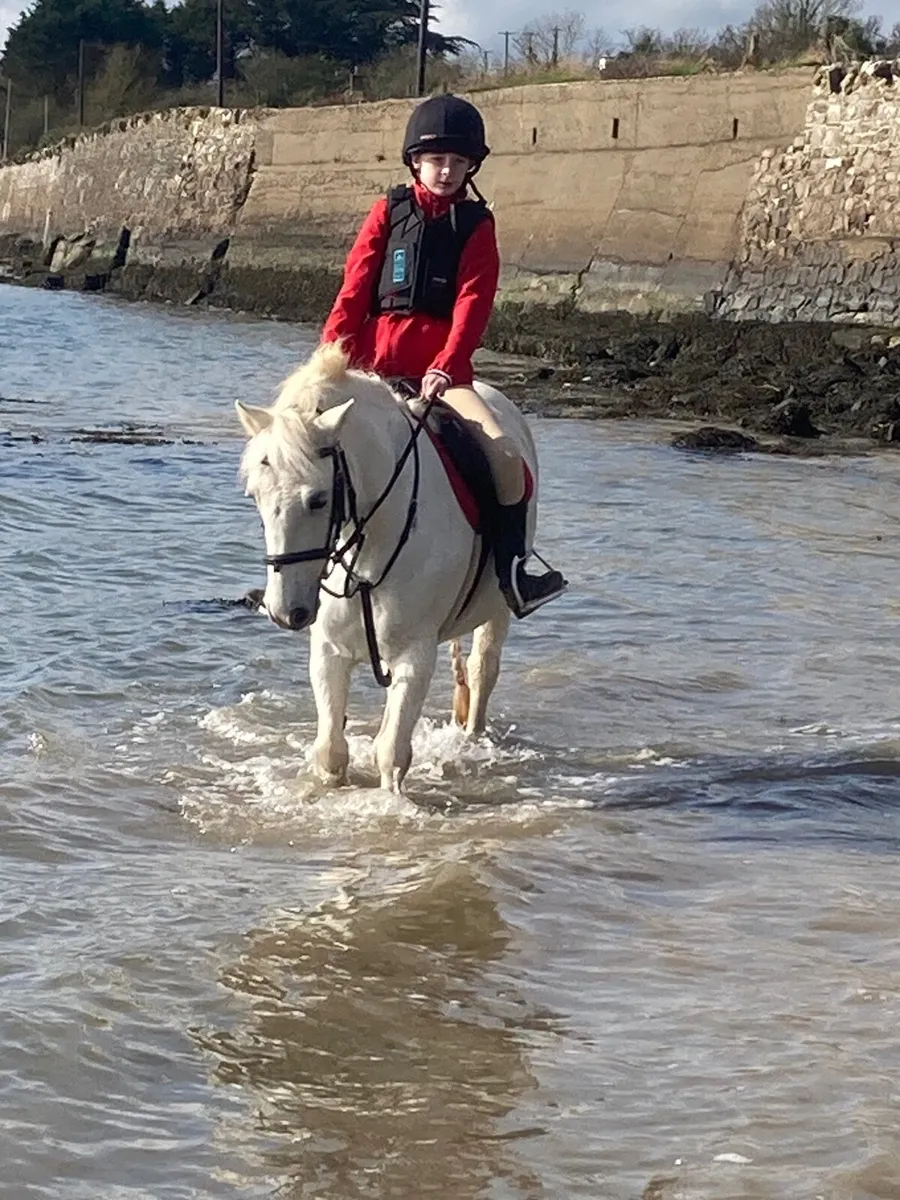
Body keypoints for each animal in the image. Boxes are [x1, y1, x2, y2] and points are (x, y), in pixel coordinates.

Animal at [236, 342, 541, 794]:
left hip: (497, 609)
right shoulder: (328, 652)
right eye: (254, 496)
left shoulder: (415, 657)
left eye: (319, 499)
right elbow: (331, 751)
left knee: (482, 669)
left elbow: (392, 753)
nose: (286, 612)